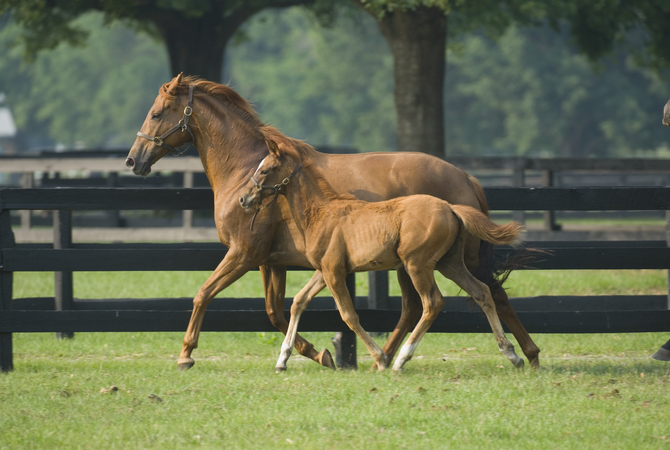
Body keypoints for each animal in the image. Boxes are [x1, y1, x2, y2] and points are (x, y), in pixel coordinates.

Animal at [239, 146, 525, 371]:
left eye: (266, 170)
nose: (243, 198)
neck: (321, 213)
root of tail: (450, 207)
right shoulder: (324, 271)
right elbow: (299, 301)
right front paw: (282, 360)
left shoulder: (333, 272)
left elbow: (349, 315)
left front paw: (380, 358)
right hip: (450, 263)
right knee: (482, 292)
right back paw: (513, 354)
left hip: (417, 265)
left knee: (432, 302)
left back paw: (400, 360)